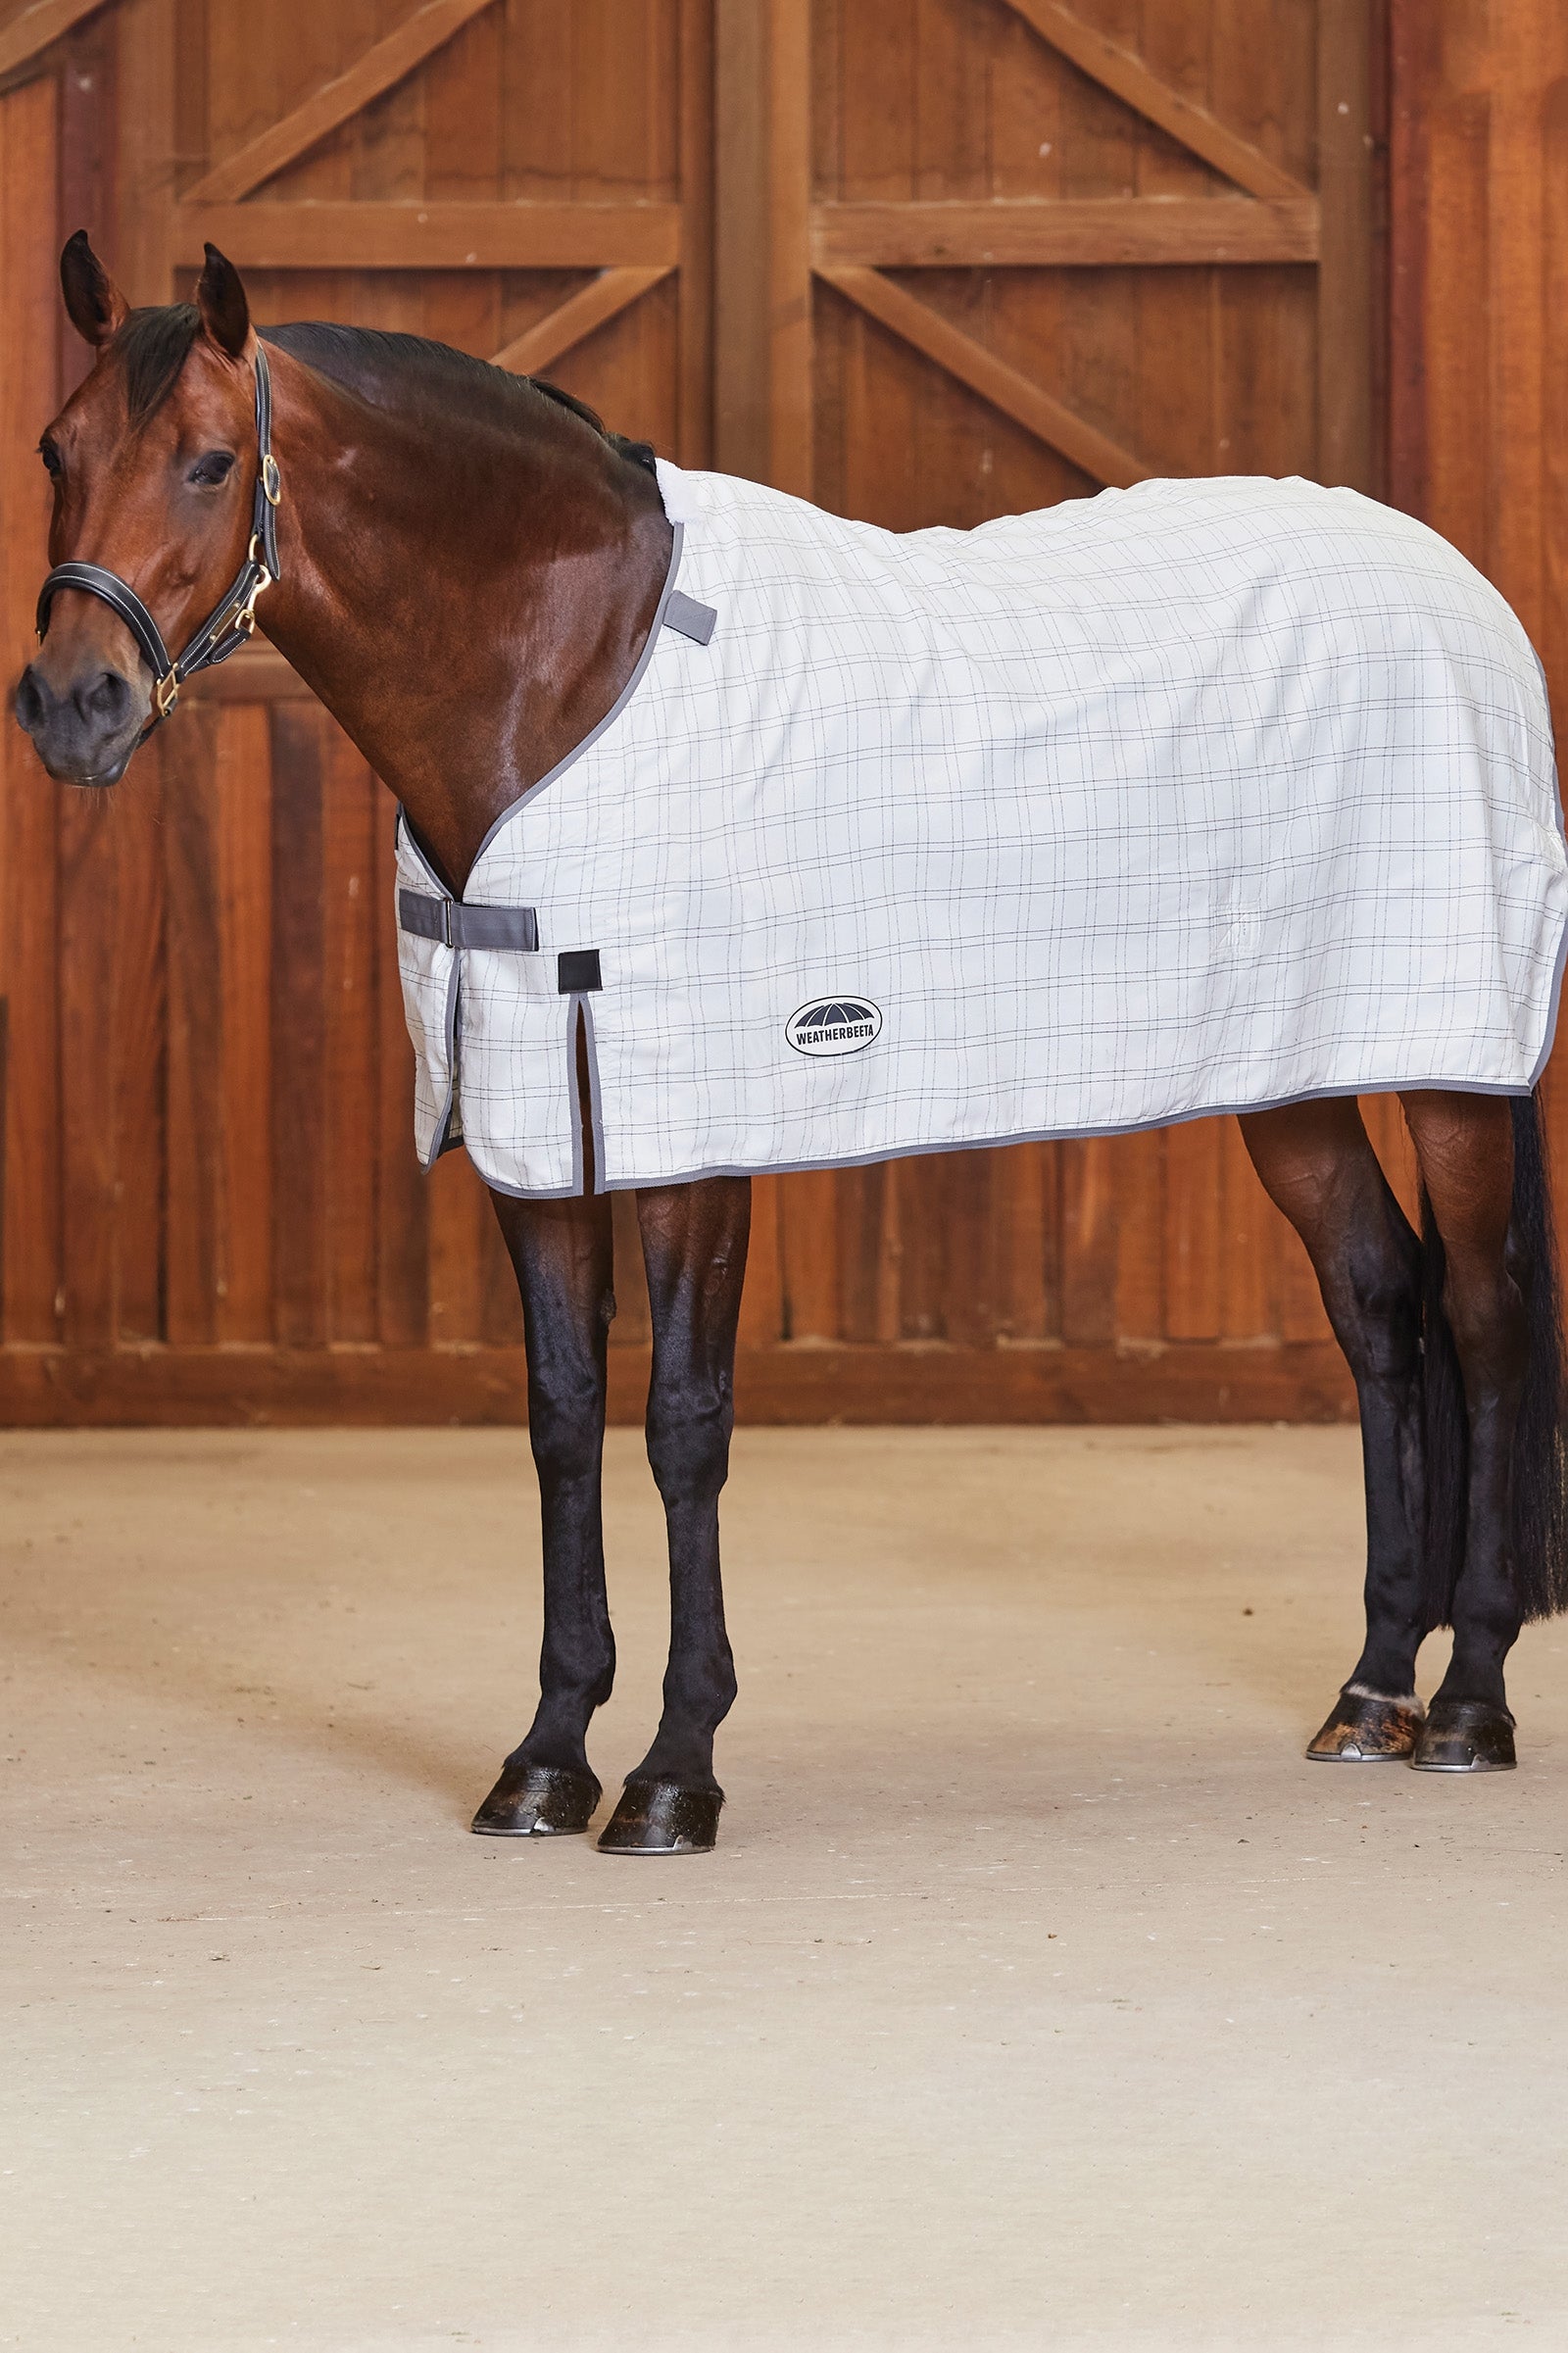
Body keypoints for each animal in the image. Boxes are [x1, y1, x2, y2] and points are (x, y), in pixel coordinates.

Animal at [16, 233, 1568, 1855]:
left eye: (207, 462)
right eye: (57, 449)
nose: (70, 704)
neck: (569, 676)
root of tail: (1458, 583)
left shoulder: (695, 1136)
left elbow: (682, 1425)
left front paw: (672, 1770)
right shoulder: (533, 1131)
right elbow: (562, 1420)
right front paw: (546, 1757)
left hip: (1452, 1070)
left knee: (1484, 1316)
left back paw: (1468, 1704)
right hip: (1291, 1073)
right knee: (1380, 1305)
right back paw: (1372, 1692)